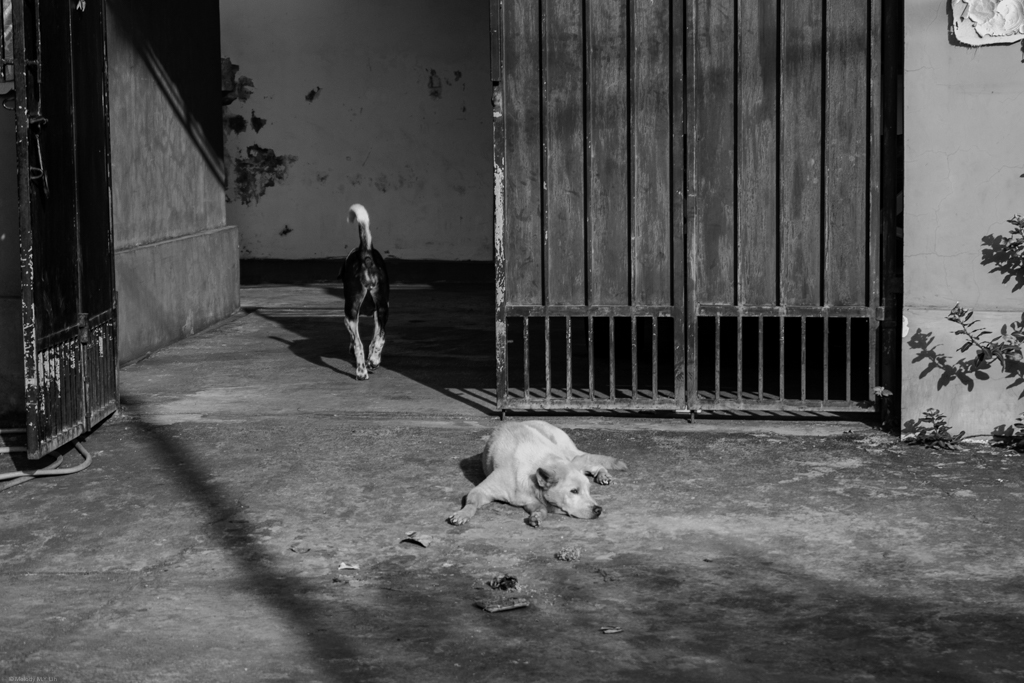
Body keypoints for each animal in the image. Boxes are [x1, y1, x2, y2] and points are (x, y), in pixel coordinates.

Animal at [344, 205, 391, 382]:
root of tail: (366, 255)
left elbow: (355, 339)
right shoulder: (378, 314)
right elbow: (375, 339)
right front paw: (373, 359)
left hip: (350, 313)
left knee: (358, 344)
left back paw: (361, 372)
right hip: (384, 308)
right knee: (382, 337)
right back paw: (373, 361)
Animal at [450, 421, 630, 528]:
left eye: (589, 491)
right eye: (574, 491)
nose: (598, 509)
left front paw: (537, 517)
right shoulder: (482, 491)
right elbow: (471, 503)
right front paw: (463, 513)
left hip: (569, 453)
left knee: (591, 461)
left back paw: (603, 474)